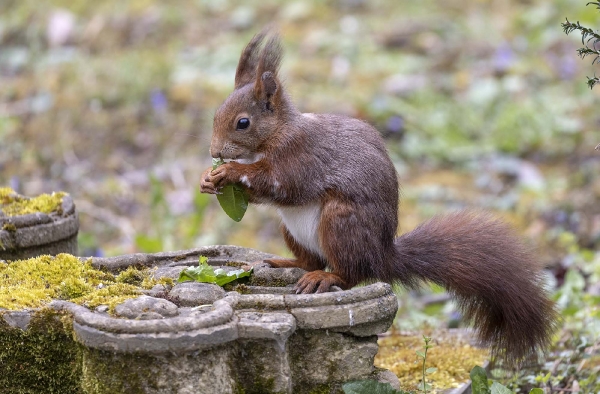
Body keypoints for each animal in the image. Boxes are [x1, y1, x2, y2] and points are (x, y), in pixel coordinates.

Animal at [202, 29, 556, 364]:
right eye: (216, 113)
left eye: (243, 123)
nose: (215, 152)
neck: (275, 134)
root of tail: (380, 254)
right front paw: (209, 179)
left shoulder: (300, 157)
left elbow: (280, 183)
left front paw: (229, 171)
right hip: (290, 229)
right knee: (309, 260)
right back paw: (285, 262)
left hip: (341, 223)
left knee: (350, 274)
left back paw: (326, 277)